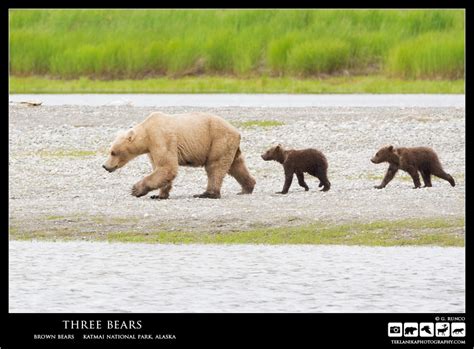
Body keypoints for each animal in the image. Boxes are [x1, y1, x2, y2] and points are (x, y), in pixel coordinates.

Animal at [101, 111, 256, 198]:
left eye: (113, 152)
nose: (105, 166)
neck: (146, 134)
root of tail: (236, 131)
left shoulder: (161, 139)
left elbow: (167, 167)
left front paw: (135, 190)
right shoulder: (152, 149)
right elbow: (160, 168)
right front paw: (159, 195)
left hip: (218, 140)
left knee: (215, 167)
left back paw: (207, 193)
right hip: (228, 145)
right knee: (235, 165)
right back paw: (247, 187)